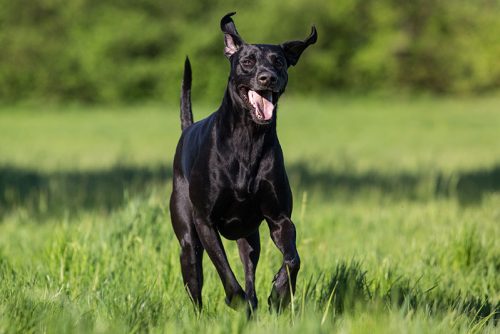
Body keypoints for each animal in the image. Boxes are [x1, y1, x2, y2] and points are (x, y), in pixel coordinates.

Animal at [170, 11, 314, 314]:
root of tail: (187, 130)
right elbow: (224, 270)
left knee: (250, 267)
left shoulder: (279, 218)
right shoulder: (205, 222)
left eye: (279, 61)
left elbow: (292, 259)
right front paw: (237, 301)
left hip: (249, 237)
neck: (248, 138)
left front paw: (280, 293)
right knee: (195, 278)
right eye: (247, 61)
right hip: (188, 239)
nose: (267, 78)